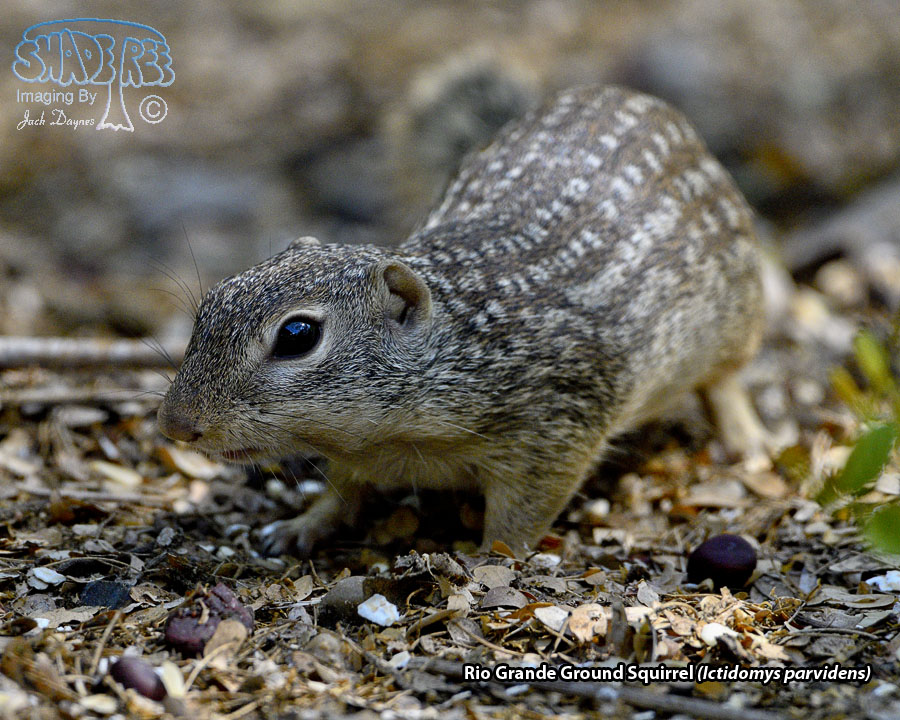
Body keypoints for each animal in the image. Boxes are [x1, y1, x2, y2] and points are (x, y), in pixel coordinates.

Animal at [157, 85, 765, 557]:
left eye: (297, 335)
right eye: (209, 303)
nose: (175, 425)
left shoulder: (555, 430)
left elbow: (520, 518)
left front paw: (485, 562)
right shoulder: (357, 454)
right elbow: (344, 492)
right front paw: (303, 524)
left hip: (737, 319)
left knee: (726, 383)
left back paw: (746, 441)